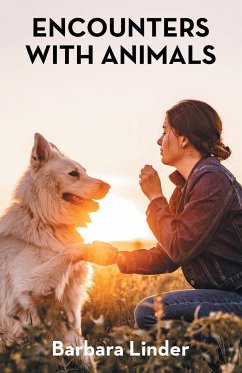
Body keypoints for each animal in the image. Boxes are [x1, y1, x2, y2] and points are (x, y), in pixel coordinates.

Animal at [0, 134, 110, 348]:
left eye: (85, 171)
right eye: (73, 174)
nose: (108, 186)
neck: (45, 221)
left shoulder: (72, 303)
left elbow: (78, 344)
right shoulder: (29, 287)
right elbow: (71, 249)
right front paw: (96, 248)